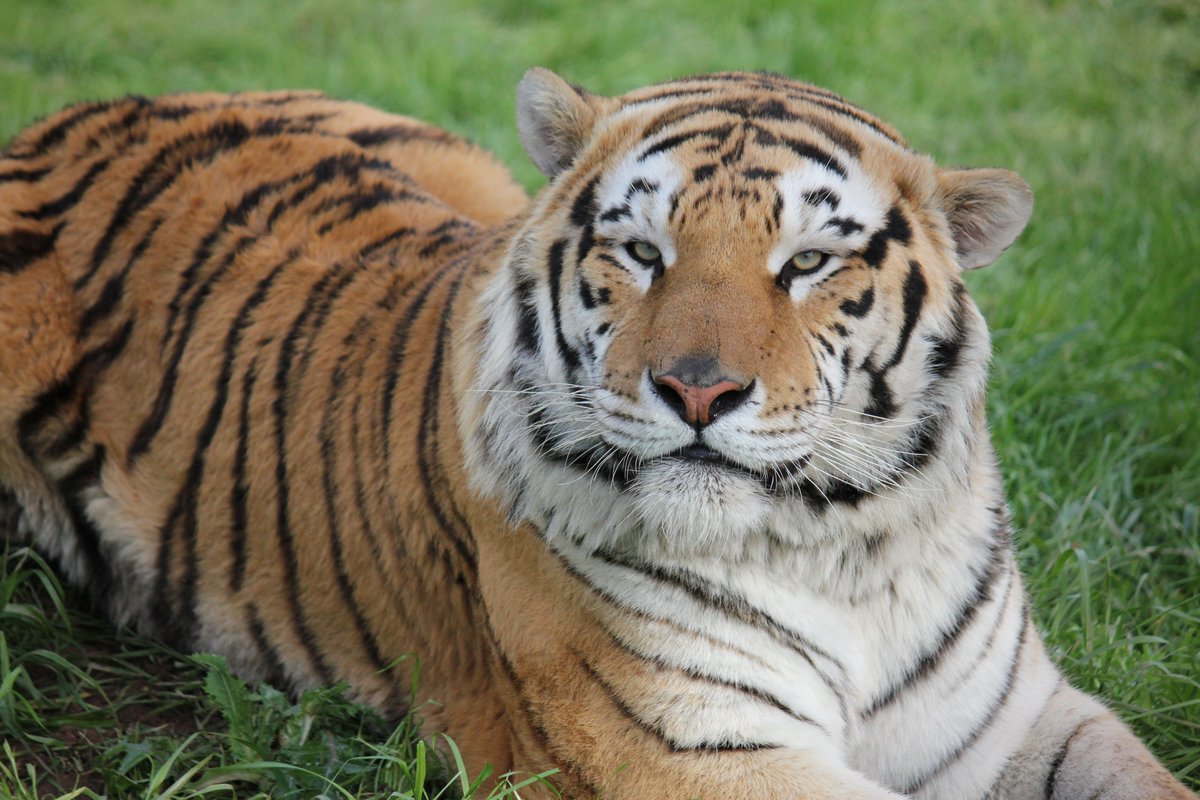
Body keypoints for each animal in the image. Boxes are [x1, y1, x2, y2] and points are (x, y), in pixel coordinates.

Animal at [0, 68, 1194, 800]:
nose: (699, 390)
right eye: (642, 251)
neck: (843, 544)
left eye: (809, 262)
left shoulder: (1017, 720)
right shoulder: (682, 748)